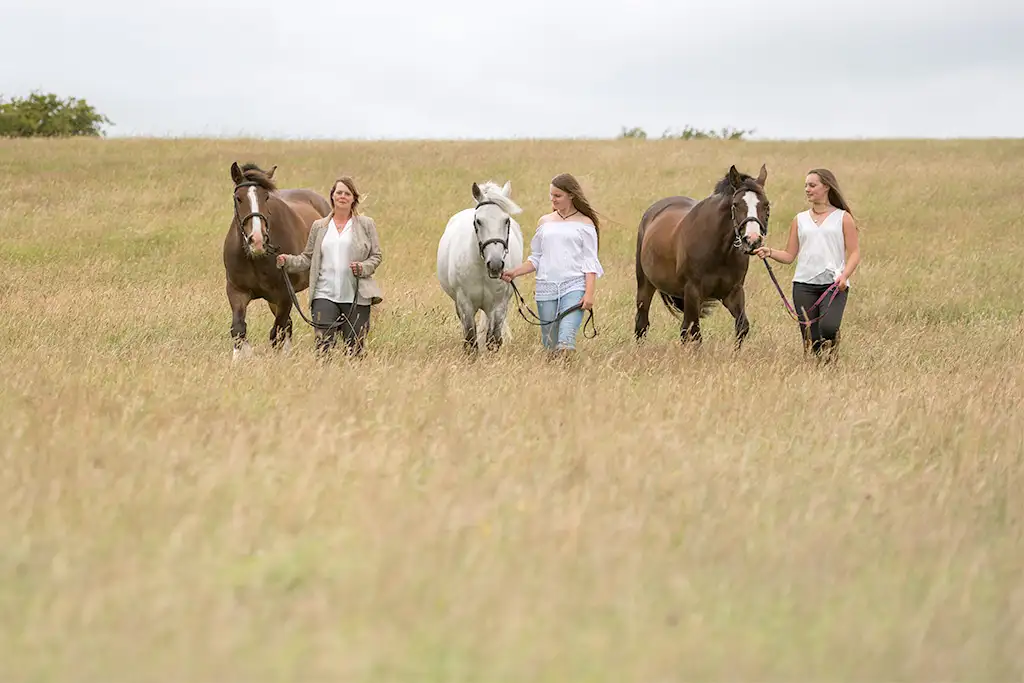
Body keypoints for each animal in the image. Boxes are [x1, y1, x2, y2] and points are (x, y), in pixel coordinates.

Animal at [223, 162, 327, 360]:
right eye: (239, 198)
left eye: (266, 197)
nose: (257, 240)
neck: (256, 259)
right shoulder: (237, 291)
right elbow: (238, 330)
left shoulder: (285, 296)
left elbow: (276, 332)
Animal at [436, 181, 524, 352]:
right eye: (478, 221)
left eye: (506, 220)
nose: (495, 265)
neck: (482, 270)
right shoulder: (465, 304)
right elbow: (471, 339)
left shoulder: (498, 306)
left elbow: (493, 340)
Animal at [630, 164, 770, 348]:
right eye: (736, 204)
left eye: (766, 205)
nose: (752, 240)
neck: (720, 252)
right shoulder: (693, 291)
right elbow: (695, 333)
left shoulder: (733, 292)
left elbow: (742, 327)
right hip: (645, 284)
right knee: (643, 324)